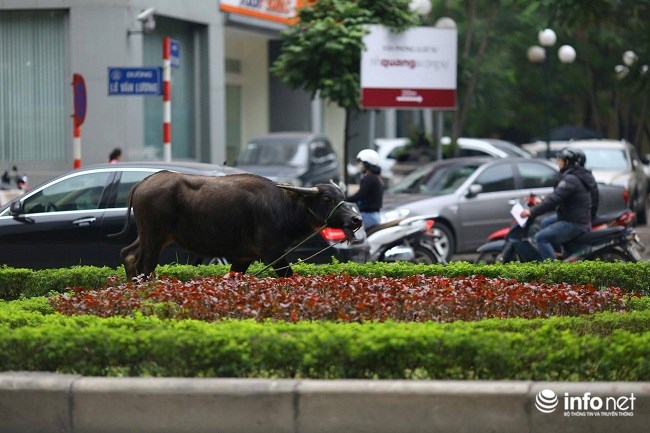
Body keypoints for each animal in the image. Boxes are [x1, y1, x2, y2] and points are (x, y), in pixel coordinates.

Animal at [113, 170, 362, 278]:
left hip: (149, 236)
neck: (284, 205)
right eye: (327, 199)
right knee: (146, 265)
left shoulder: (244, 257)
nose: (356, 219)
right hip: (154, 237)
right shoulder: (274, 253)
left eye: (342, 195)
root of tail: (142, 183)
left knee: (128, 254)